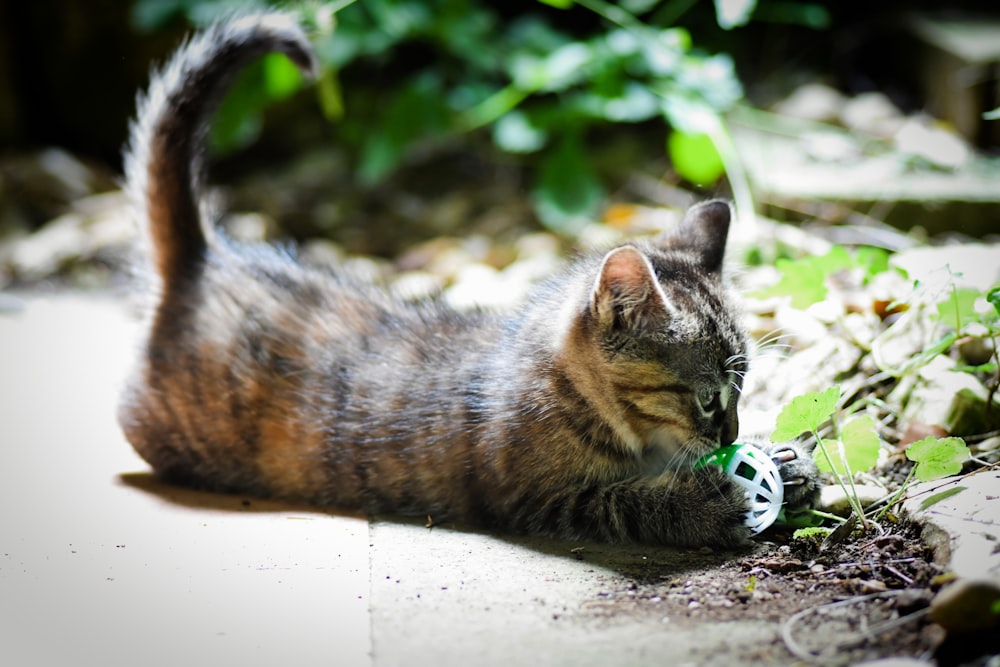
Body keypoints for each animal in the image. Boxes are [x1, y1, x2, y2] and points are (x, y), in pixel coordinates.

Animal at [119, 13, 820, 548]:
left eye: (744, 391)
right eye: (707, 398)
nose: (731, 438)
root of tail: (205, 256)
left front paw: (790, 464)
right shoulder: (537, 498)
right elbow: (627, 502)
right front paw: (706, 503)